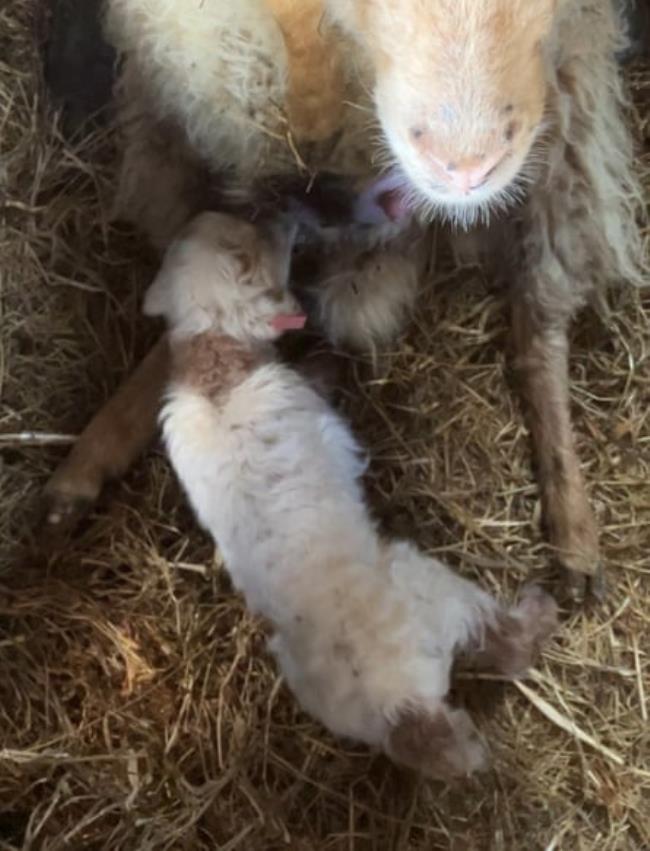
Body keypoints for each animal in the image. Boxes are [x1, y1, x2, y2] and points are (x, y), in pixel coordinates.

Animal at [146, 211, 556, 780]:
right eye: (261, 240)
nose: (282, 221)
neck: (216, 363)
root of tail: (406, 707)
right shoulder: (318, 412)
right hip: (437, 588)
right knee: (509, 644)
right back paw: (541, 610)